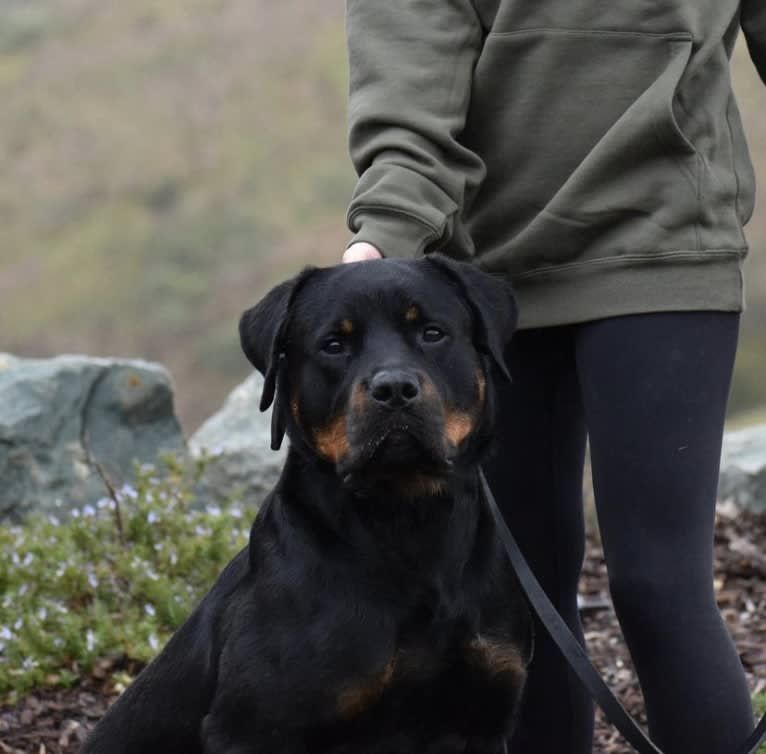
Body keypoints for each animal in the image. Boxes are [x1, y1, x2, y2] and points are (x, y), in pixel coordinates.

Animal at [79, 254, 536, 752]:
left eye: (432, 333)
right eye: (333, 345)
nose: (394, 387)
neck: (407, 518)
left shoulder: (485, 712)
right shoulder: (253, 727)